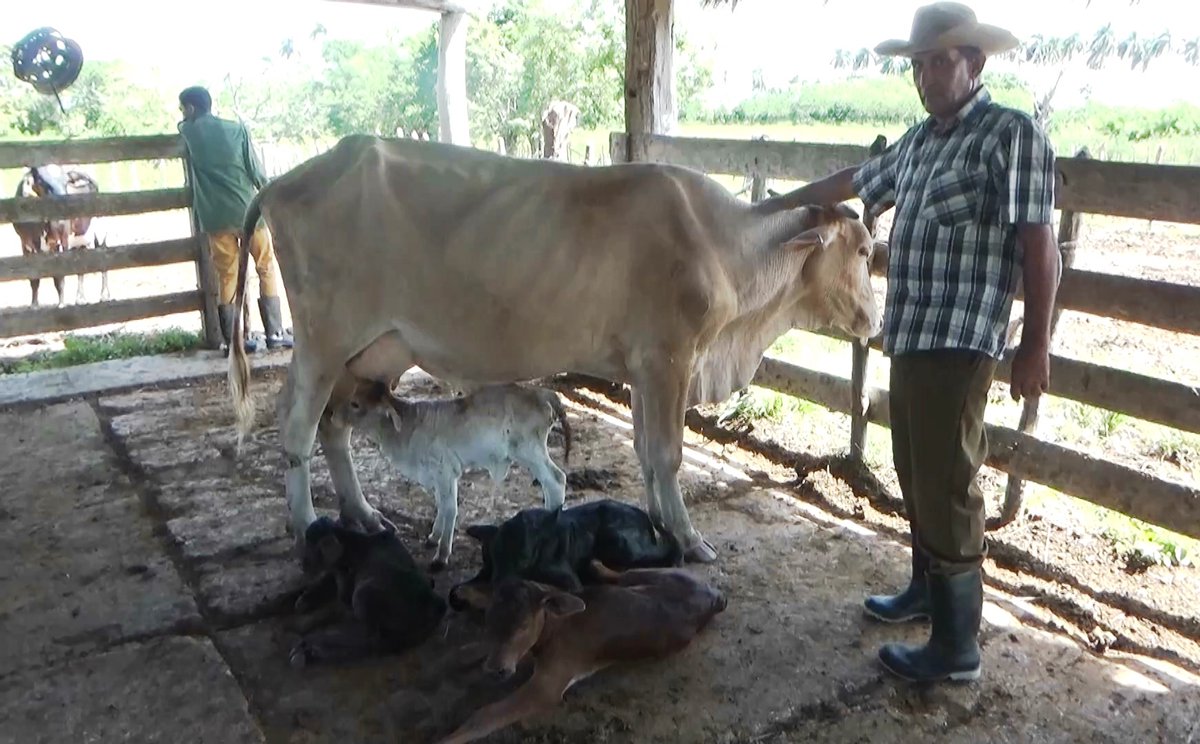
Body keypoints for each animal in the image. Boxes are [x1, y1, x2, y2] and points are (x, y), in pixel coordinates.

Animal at [13, 165, 109, 307]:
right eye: (41, 181)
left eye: (66, 182)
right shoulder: (25, 245)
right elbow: (33, 278)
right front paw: (34, 304)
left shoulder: (61, 242)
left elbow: (59, 277)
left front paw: (61, 304)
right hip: (79, 242)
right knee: (81, 269)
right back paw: (80, 299)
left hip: (100, 233)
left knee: (103, 264)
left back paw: (104, 296)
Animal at [226, 135, 882, 565]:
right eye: (865, 250)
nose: (873, 320)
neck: (722, 247)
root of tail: (282, 181)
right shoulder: (669, 358)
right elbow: (667, 454)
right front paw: (690, 540)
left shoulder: (643, 369)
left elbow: (646, 453)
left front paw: (656, 525)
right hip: (323, 342)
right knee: (297, 427)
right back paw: (307, 527)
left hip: (369, 352)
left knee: (335, 427)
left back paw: (362, 515)